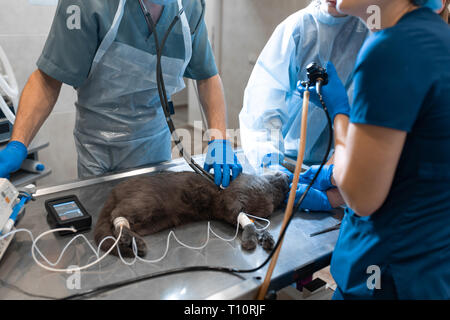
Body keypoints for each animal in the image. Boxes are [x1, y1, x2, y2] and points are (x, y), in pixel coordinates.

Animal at [94, 170, 290, 258]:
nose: (287, 176)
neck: (269, 193)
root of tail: (114, 191)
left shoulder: (231, 213)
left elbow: (256, 223)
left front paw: (266, 238)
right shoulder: (231, 200)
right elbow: (248, 221)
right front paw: (250, 239)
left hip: (153, 220)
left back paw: (133, 242)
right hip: (145, 203)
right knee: (116, 216)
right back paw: (134, 241)